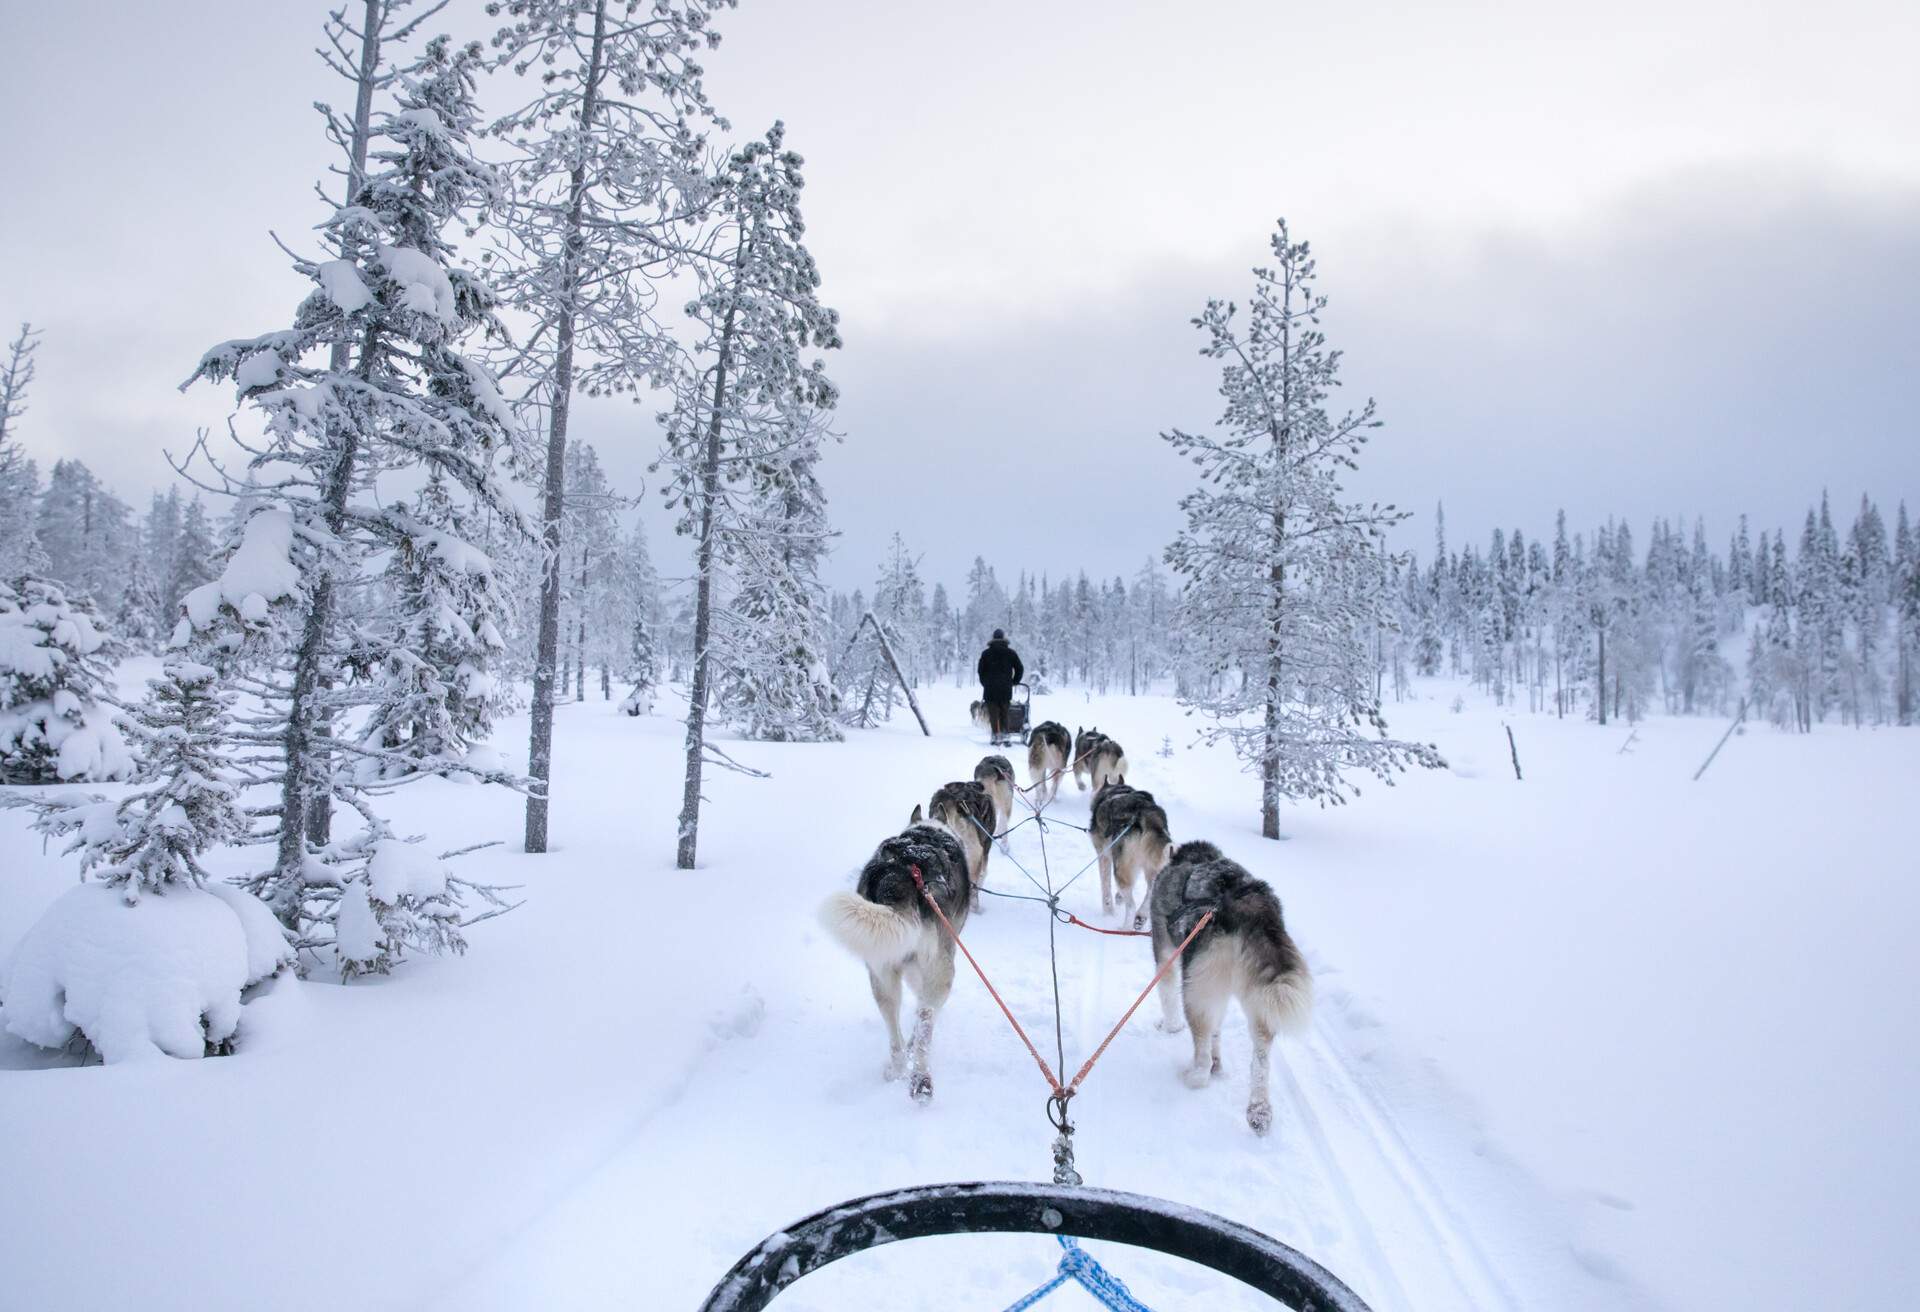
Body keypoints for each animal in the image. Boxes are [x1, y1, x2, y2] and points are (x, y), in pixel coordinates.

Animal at [817, 814, 975, 1106]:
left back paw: (899, 1069)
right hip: (940, 971)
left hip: (880, 972)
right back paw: (920, 1077)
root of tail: (903, 873)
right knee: (925, 1019)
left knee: (893, 1025)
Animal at [1090, 779, 1175, 933]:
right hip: (1153, 865)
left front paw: (1108, 912)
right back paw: (1141, 916)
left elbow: (1106, 890)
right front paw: (1118, 899)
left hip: (1120, 869)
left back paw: (1125, 927)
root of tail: (1145, 814)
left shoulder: (1104, 856)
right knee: (1151, 890)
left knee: (1131, 905)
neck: (1117, 791)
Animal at [1144, 845, 1313, 1137]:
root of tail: (1250, 908)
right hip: (1255, 1001)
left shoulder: (1165, 953)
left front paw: (1170, 1027)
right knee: (1259, 1059)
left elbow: (1167, 996)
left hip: (1196, 993)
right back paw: (1259, 1111)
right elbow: (1217, 1032)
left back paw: (1194, 1076)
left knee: (1201, 1054)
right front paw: (1219, 1062)